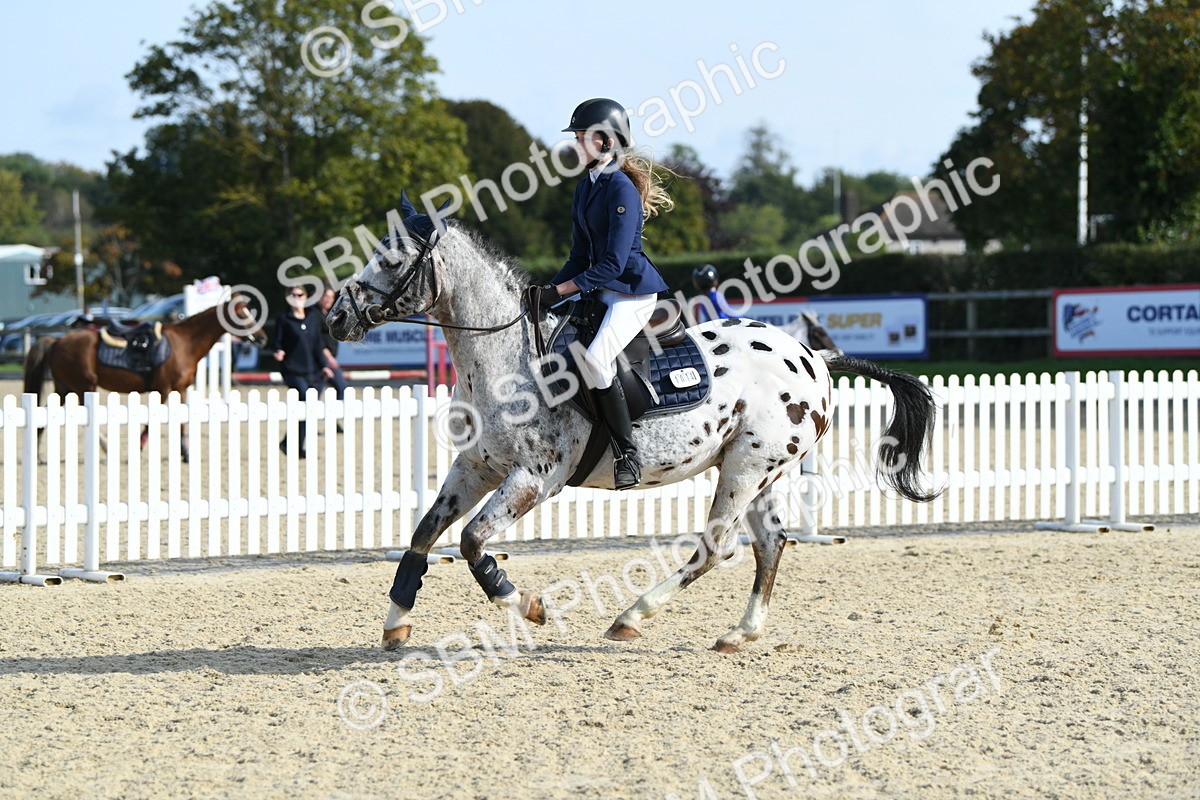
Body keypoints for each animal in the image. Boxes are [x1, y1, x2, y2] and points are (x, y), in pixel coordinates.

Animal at [23, 296, 266, 461]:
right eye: (242, 314)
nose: (262, 338)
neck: (184, 343)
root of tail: (56, 341)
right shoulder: (164, 389)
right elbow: (150, 423)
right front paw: (138, 447)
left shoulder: (181, 389)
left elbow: (181, 421)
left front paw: (185, 452)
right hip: (83, 387)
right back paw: (105, 446)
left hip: (64, 388)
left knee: (44, 416)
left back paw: (38, 454)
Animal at [326, 197, 940, 653]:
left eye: (390, 261)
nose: (336, 317)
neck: (504, 358)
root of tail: (812, 355)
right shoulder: (475, 467)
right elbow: (424, 534)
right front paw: (395, 623)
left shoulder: (534, 478)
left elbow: (473, 543)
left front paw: (530, 606)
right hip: (756, 469)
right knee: (769, 542)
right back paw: (738, 633)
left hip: (747, 467)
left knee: (718, 547)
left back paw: (631, 616)